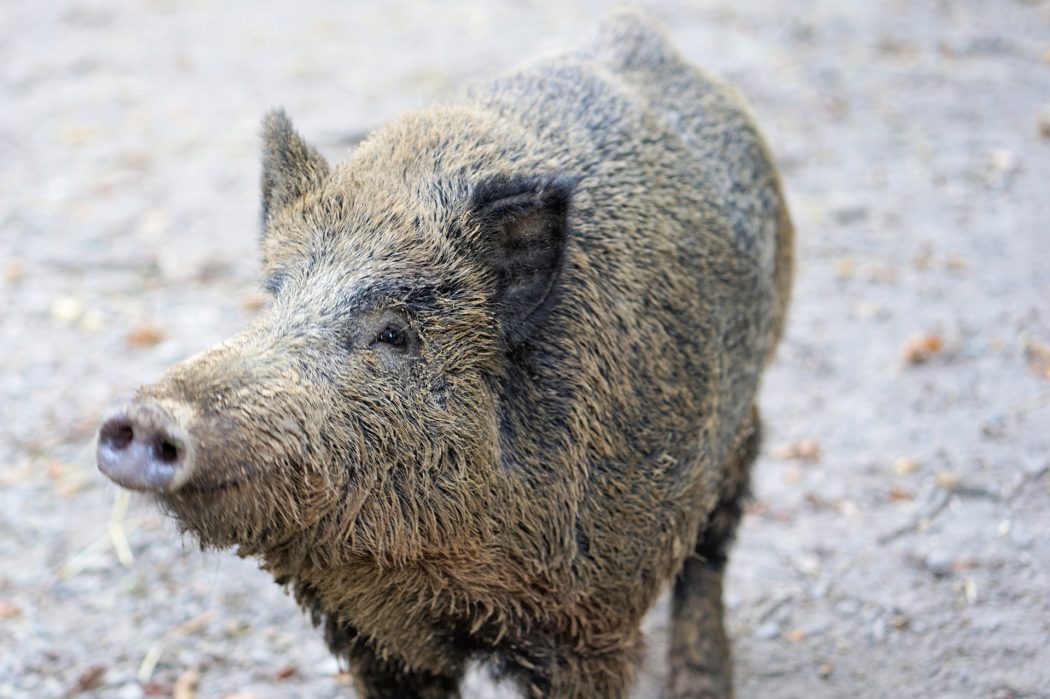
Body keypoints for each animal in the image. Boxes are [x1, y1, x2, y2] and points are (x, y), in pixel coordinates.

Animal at [97, 10, 793, 699]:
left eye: (394, 333)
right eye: (275, 297)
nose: (147, 416)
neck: (429, 576)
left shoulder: (593, 619)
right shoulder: (374, 633)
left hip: (743, 411)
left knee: (714, 540)